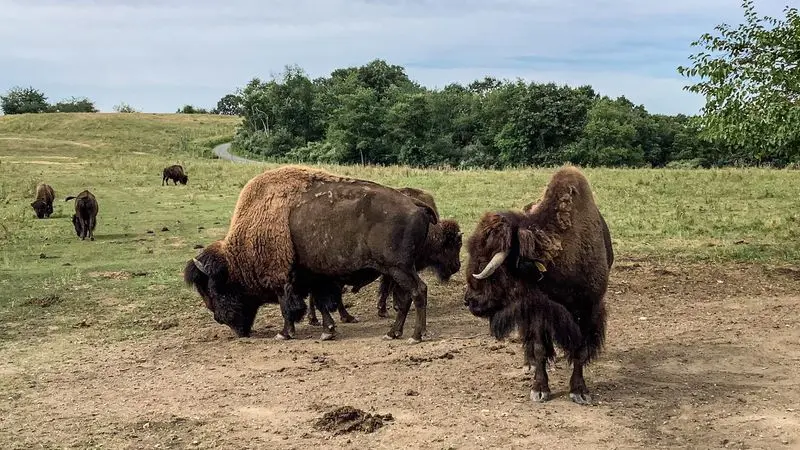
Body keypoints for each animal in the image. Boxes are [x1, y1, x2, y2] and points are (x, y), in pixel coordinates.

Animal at [184, 165, 439, 343]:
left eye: (216, 290)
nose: (222, 320)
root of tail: (415, 203)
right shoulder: (315, 276)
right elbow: (322, 303)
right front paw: (328, 331)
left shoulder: (283, 279)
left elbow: (287, 307)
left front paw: (284, 334)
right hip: (396, 270)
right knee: (405, 298)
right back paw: (393, 333)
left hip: (399, 268)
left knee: (418, 291)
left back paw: (415, 336)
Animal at [463, 165, 613, 405]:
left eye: (486, 260)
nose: (469, 301)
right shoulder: (539, 310)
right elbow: (540, 348)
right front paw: (539, 389)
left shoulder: (590, 308)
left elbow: (579, 350)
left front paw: (580, 391)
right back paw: (530, 363)